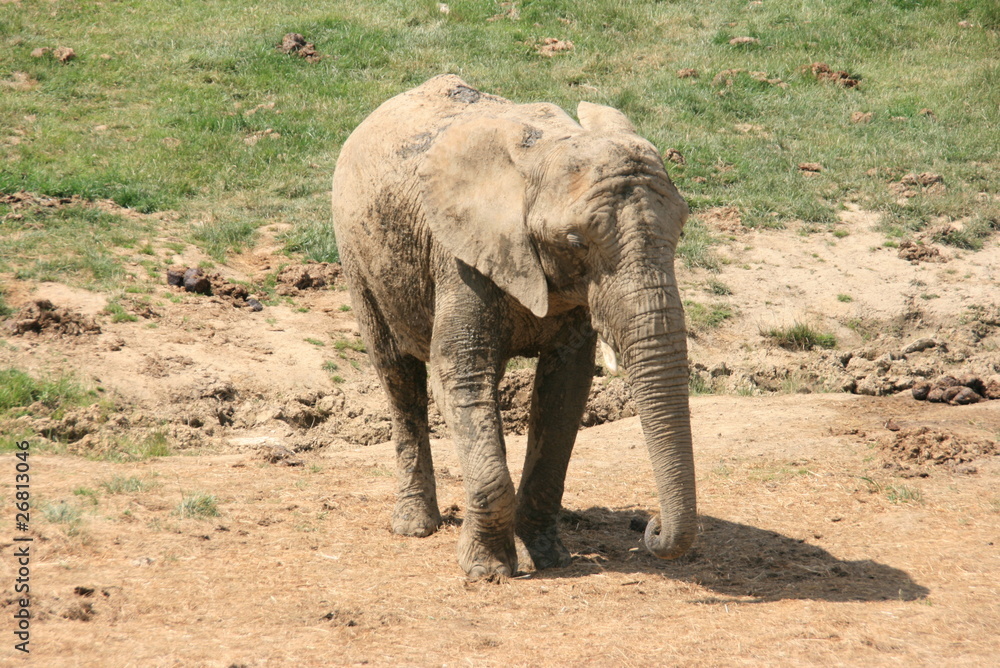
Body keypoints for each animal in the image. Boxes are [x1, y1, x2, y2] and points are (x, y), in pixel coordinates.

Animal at [331, 75, 695, 579]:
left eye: (682, 227)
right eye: (576, 242)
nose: (651, 526)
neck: (545, 154)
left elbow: (565, 390)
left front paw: (550, 558)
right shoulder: (460, 260)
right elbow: (460, 374)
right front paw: (487, 571)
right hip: (357, 255)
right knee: (397, 374)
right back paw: (415, 526)